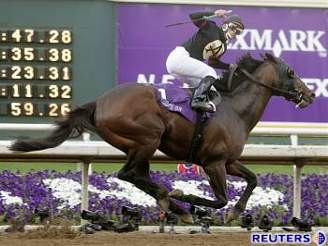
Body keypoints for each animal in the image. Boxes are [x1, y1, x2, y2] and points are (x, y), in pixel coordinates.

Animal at [9, 52, 316, 224]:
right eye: (291, 72)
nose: (310, 93)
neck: (234, 109)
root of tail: (100, 102)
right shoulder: (213, 163)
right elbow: (220, 199)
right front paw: (188, 197)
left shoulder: (228, 161)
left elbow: (252, 179)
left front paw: (236, 213)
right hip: (148, 138)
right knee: (127, 174)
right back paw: (175, 201)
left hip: (137, 146)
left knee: (138, 176)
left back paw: (172, 204)